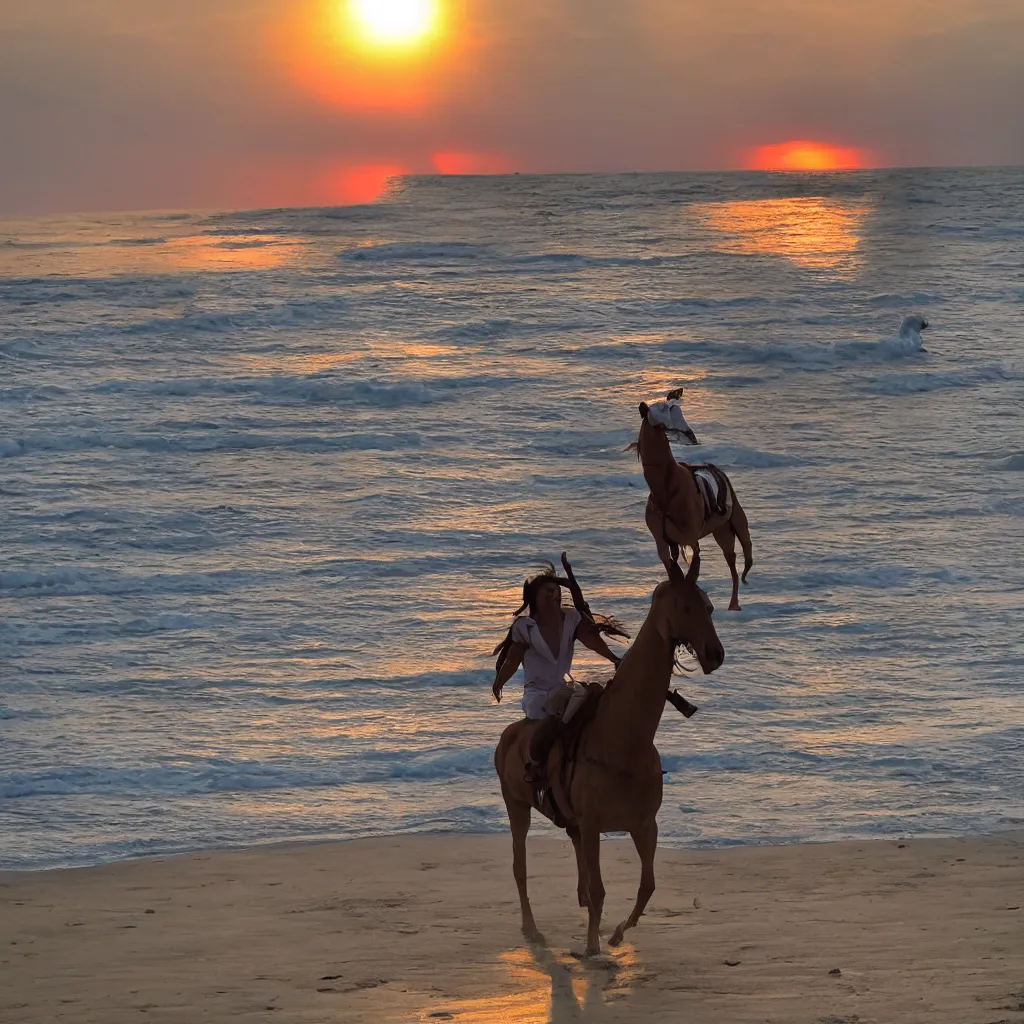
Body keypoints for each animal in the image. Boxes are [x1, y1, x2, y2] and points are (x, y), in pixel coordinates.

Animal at [493, 552, 720, 958]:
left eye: (709, 606)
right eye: (685, 606)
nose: (715, 654)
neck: (624, 742)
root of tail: (509, 734)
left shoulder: (644, 825)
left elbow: (647, 886)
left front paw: (614, 934)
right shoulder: (594, 824)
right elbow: (600, 889)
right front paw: (591, 947)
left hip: (571, 820)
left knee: (576, 856)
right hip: (515, 805)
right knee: (520, 868)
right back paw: (532, 929)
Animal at [638, 399, 753, 606]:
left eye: (678, 410)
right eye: (661, 414)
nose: (691, 436)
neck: (667, 491)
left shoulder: (692, 540)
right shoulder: (662, 544)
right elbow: (675, 575)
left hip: (730, 526)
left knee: (736, 558)